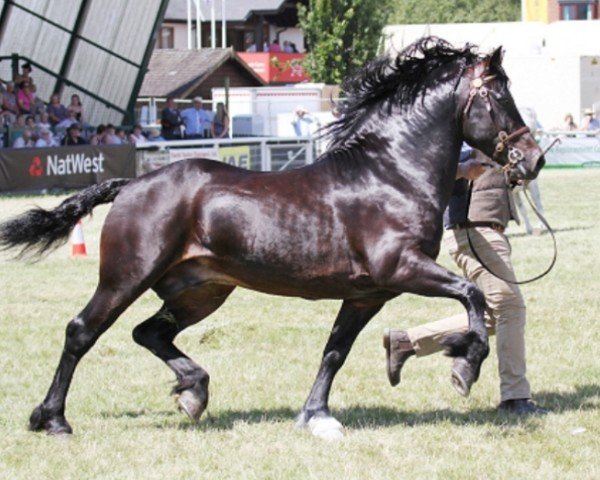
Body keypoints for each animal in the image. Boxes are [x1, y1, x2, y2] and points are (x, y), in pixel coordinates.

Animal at [0, 38, 544, 438]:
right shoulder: (402, 268)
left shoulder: (368, 293)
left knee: (149, 333)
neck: (391, 174)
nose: (533, 159)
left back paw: (194, 392)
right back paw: (52, 419)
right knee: (82, 331)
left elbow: (334, 351)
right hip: (126, 277)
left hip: (202, 290)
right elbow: (473, 295)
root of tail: (132, 183)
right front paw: (463, 366)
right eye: (500, 97)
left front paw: (316, 415)